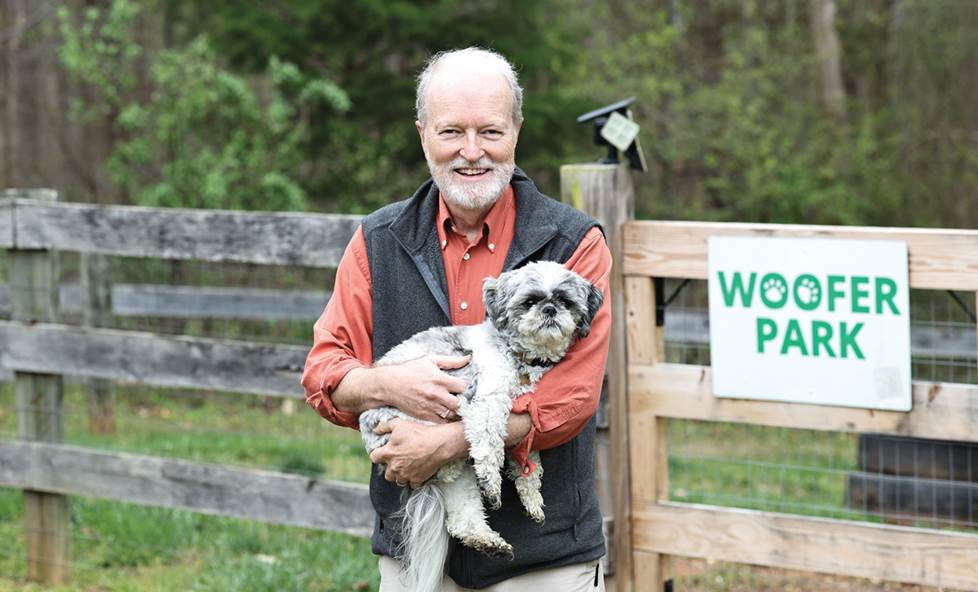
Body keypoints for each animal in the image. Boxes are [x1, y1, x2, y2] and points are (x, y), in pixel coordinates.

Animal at [358, 262, 604, 592]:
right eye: (530, 301)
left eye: (565, 301)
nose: (550, 309)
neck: (518, 356)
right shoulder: (488, 402)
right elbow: (490, 443)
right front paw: (494, 480)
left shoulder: (523, 414)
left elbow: (528, 460)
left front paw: (531, 494)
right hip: (413, 414)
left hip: (460, 483)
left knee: (463, 520)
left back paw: (490, 543)